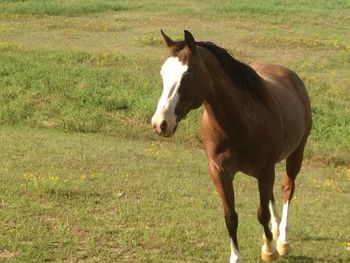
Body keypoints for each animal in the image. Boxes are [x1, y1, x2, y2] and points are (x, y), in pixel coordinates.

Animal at [150, 30, 312, 262]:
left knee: (287, 189)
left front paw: (269, 250)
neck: (239, 122)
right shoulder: (220, 171)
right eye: (163, 73)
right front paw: (237, 255)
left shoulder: (266, 169)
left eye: (187, 76)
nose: (160, 123)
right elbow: (231, 217)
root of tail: (291, 77)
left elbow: (261, 213)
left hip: (295, 154)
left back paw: (282, 240)